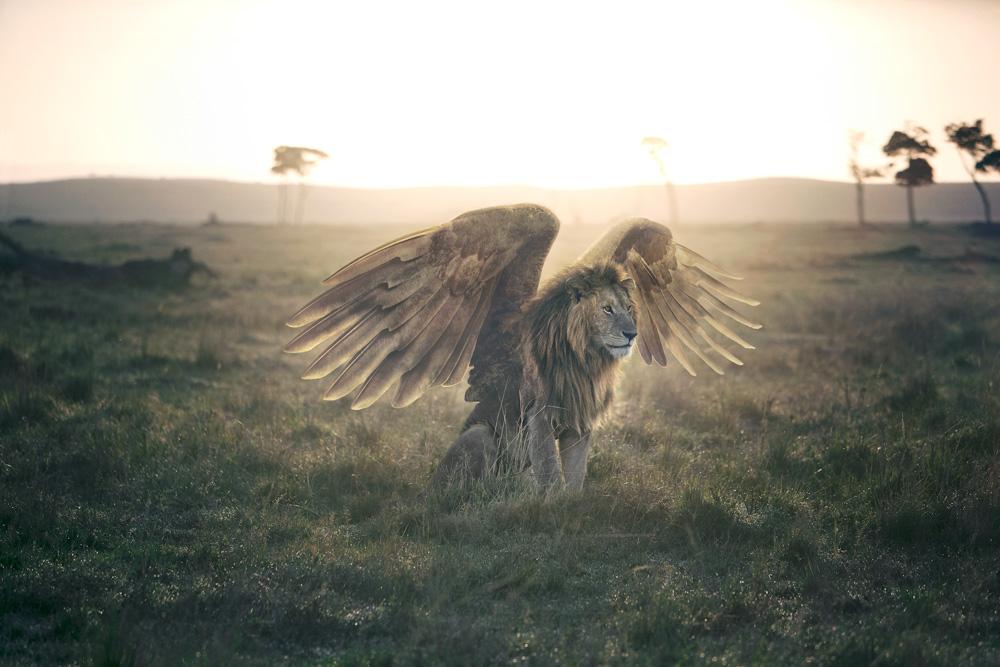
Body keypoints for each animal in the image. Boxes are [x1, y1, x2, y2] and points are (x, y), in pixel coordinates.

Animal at [285, 205, 759, 492]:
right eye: (607, 309)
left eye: (631, 308)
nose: (631, 335)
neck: (584, 360)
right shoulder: (540, 413)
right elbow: (551, 475)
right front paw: (550, 512)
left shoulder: (581, 420)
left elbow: (575, 476)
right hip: (477, 438)